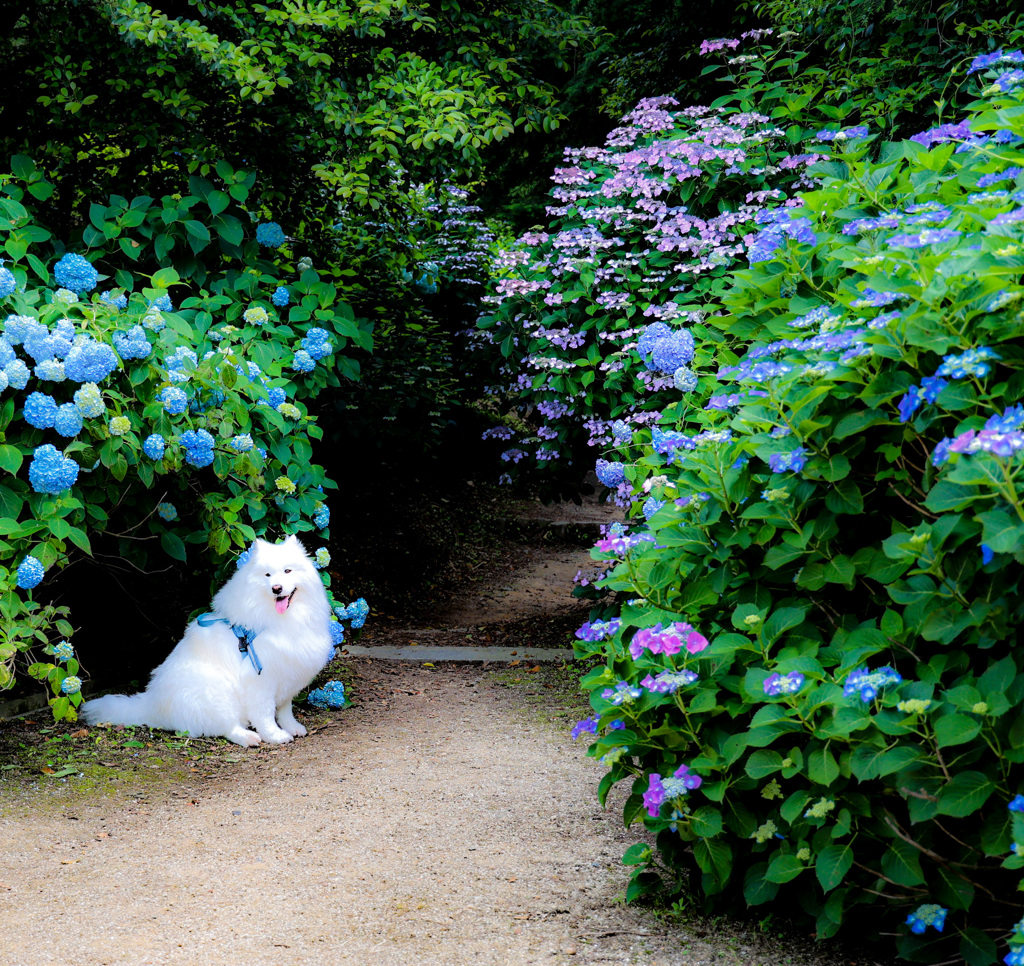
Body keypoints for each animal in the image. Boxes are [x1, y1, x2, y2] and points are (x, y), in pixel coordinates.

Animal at [82, 536, 335, 749]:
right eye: (267, 575)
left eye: (287, 570)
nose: (277, 588)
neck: (280, 619)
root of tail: (152, 704)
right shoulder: (261, 681)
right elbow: (264, 714)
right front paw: (274, 735)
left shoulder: (288, 675)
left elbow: (284, 710)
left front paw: (292, 728)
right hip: (216, 692)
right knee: (226, 727)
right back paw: (249, 737)